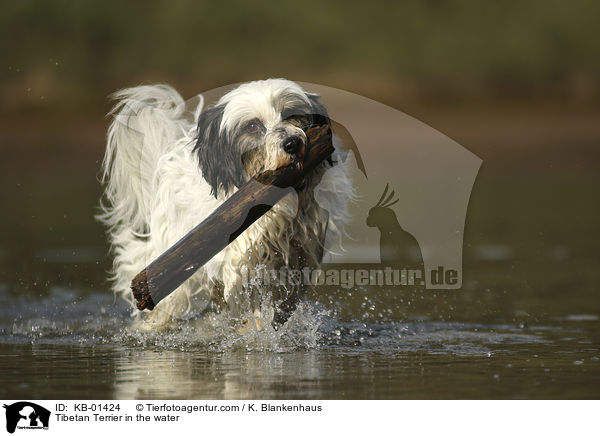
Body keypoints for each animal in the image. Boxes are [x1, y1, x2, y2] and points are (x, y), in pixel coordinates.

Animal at [96, 79, 354, 330]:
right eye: (252, 126)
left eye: (291, 114)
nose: (292, 143)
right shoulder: (240, 259)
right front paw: (255, 328)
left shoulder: (301, 252)